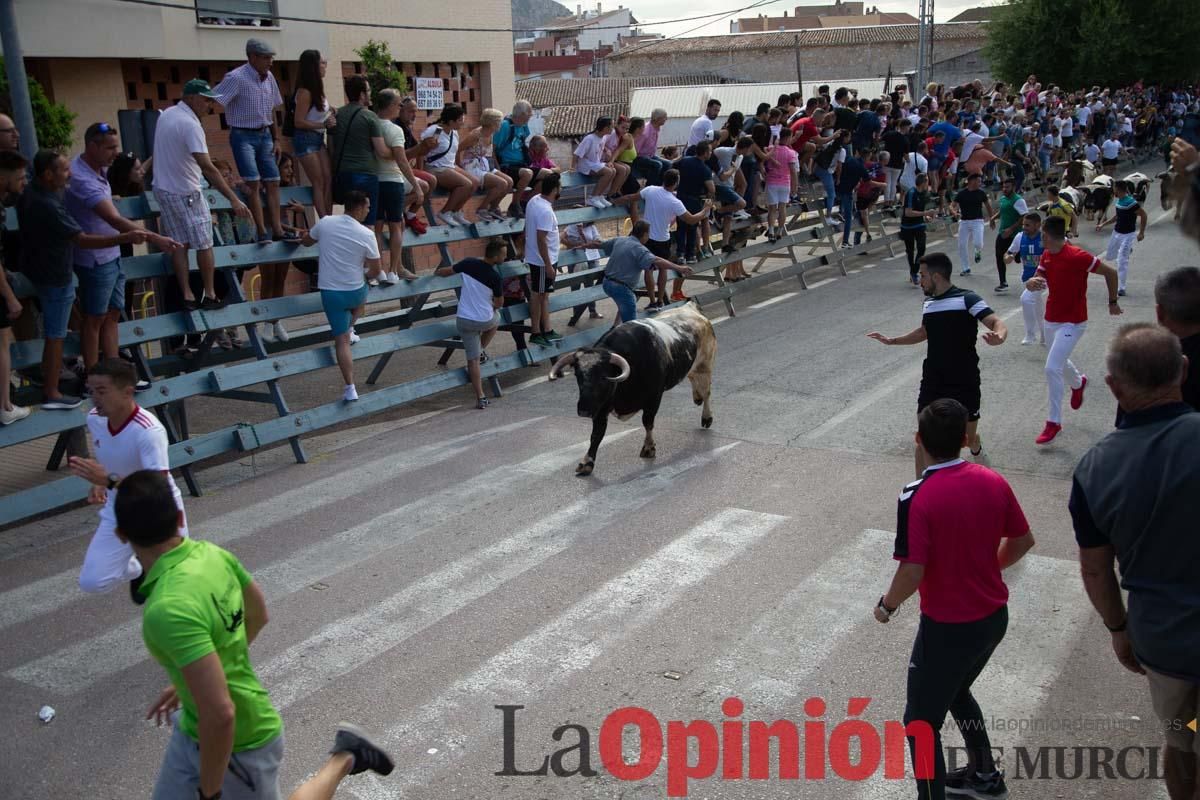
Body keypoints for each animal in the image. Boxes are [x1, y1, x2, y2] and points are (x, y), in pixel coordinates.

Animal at [549, 302, 715, 474]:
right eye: (578, 375)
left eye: (602, 377)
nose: (584, 410)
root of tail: (691, 308)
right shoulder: (602, 406)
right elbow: (597, 434)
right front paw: (587, 462)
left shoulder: (653, 398)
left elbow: (647, 422)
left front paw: (648, 448)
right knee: (693, 377)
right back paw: (697, 397)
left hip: (705, 364)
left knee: (706, 391)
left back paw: (706, 417)